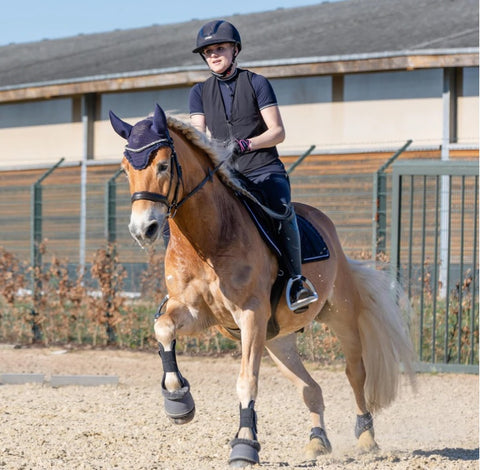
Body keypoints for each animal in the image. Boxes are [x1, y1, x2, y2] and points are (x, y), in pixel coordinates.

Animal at [109, 104, 416, 468]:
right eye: (125, 169)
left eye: (163, 165)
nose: (143, 230)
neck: (208, 240)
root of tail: (330, 231)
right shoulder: (197, 313)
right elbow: (163, 328)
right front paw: (178, 402)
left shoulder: (251, 316)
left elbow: (247, 382)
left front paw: (244, 444)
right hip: (278, 341)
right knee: (309, 388)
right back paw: (317, 441)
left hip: (341, 317)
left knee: (355, 373)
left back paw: (366, 436)